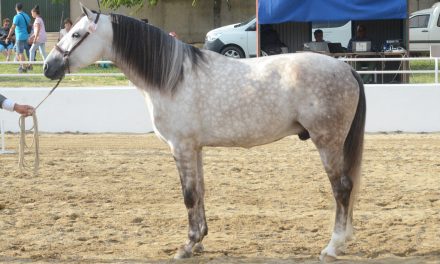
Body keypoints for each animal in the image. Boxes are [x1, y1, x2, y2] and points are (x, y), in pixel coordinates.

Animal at [44, 3, 366, 260]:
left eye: (76, 34)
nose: (48, 66)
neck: (173, 78)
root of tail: (346, 69)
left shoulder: (181, 147)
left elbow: (188, 195)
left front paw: (186, 246)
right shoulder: (195, 148)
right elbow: (199, 191)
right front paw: (199, 241)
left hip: (328, 142)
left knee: (342, 189)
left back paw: (333, 247)